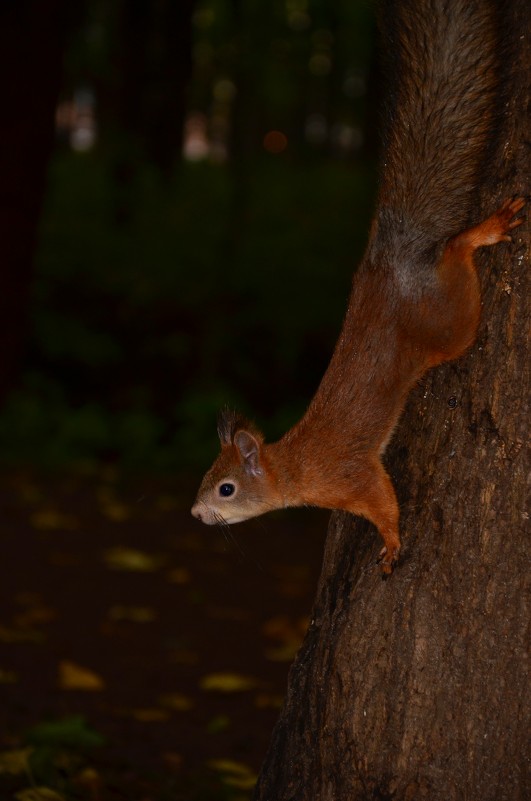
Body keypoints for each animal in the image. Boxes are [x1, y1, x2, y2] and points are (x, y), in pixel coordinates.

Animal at [190, 0, 524, 576]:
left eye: (226, 488)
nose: (194, 512)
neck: (294, 466)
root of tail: (388, 263)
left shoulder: (353, 477)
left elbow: (383, 503)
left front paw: (390, 544)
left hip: (450, 323)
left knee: (458, 255)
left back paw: (483, 232)